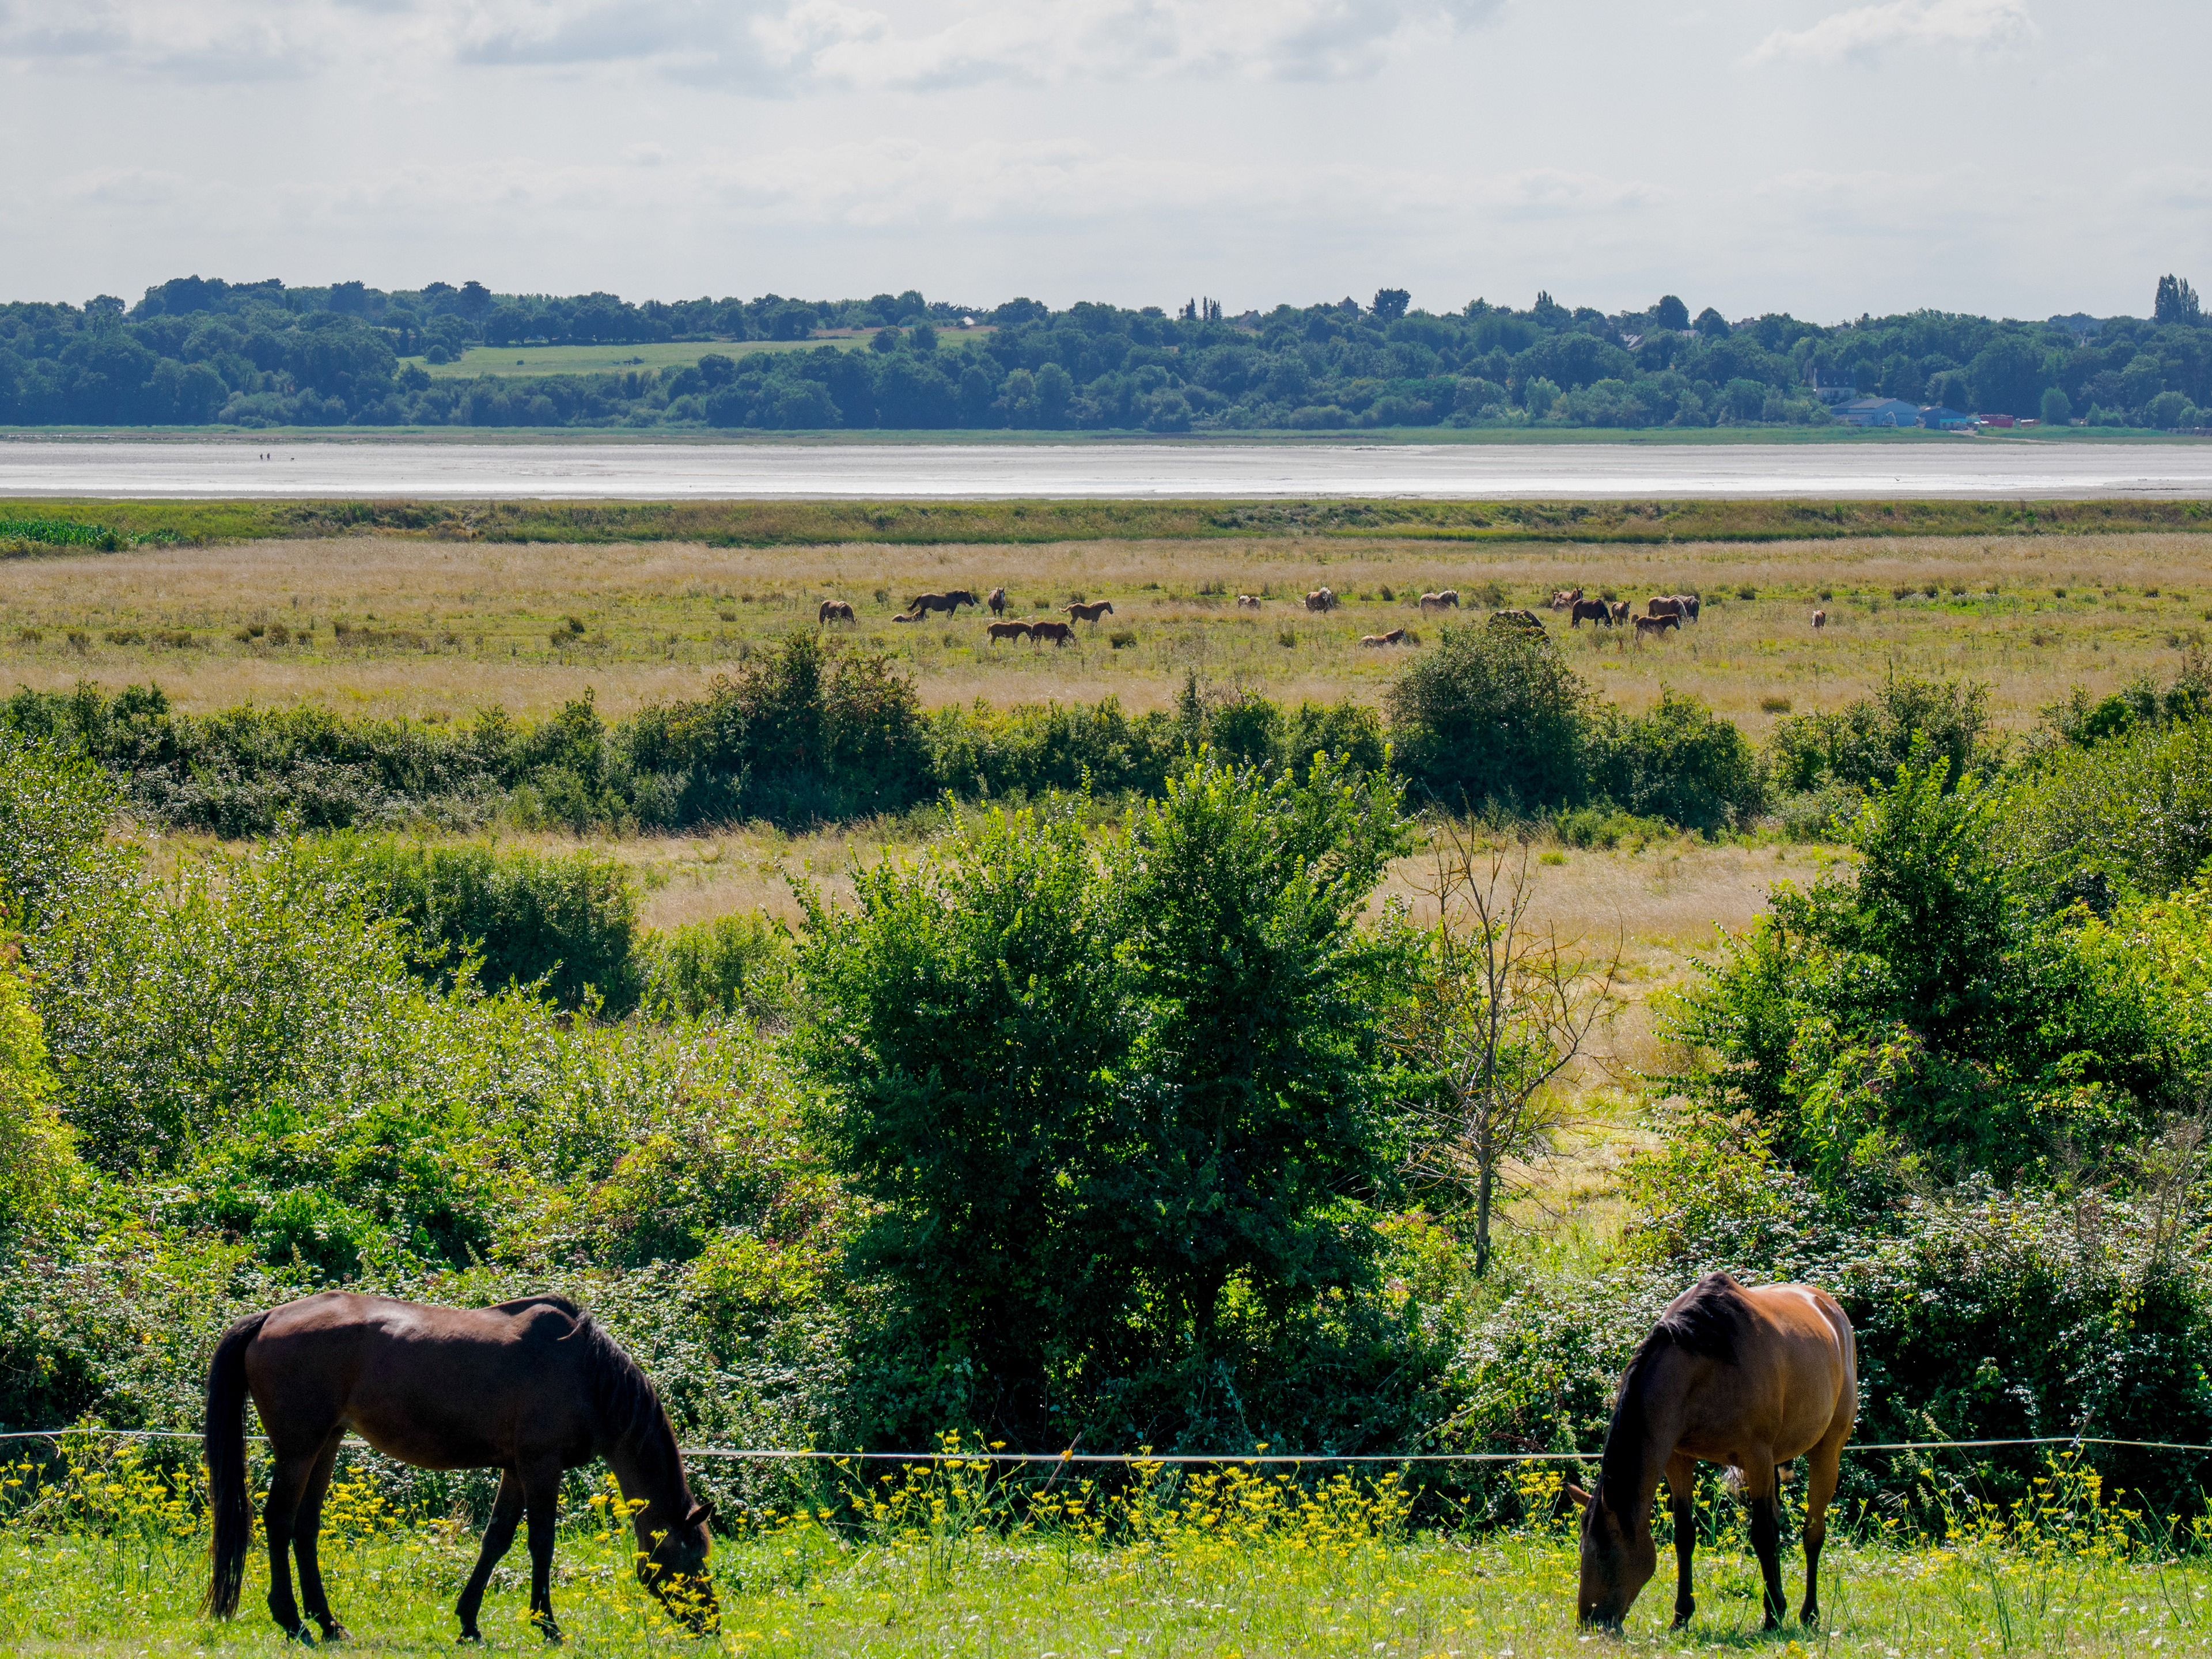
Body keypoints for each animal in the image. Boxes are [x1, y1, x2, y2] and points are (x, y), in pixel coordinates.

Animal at [205, 1292, 716, 1645]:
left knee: (305, 1528)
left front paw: (469, 1620)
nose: (709, 1624)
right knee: (279, 1521)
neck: (586, 1374)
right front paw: (547, 1624)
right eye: (694, 1557)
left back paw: (328, 1622)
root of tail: (269, 1318)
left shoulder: (516, 1469)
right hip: (298, 1449)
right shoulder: (541, 1466)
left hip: (326, 1444)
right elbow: (541, 1544)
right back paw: (292, 1620)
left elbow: (497, 1540)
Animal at [1570, 1272, 1855, 1633]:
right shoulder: (1678, 1460)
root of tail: (1831, 1309)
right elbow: (1685, 1535)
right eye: (1582, 1549)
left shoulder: (1757, 1458)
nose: (1590, 1623)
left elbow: (1763, 1535)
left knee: (1812, 1534)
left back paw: (1809, 1612)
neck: (1703, 1361)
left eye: (1605, 1553)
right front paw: (1681, 1615)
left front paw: (1773, 1615)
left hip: (1827, 1451)